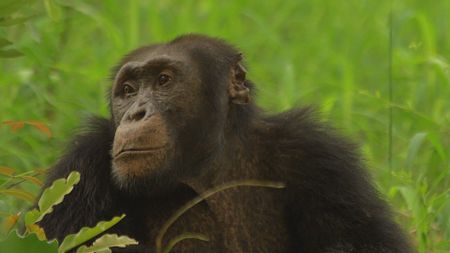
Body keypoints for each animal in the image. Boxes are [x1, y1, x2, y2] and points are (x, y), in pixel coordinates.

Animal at [37, 34, 414, 253]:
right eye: (128, 91)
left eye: (163, 81)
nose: (136, 113)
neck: (205, 166)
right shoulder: (81, 171)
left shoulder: (320, 159)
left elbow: (367, 243)